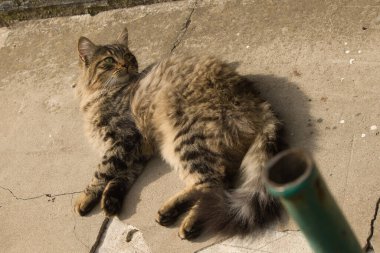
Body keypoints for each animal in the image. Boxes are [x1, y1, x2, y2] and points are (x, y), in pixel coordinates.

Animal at [73, 27, 282, 239]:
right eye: (109, 60)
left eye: (129, 56)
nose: (126, 65)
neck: (96, 95)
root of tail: (258, 100)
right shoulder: (136, 153)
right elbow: (121, 178)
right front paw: (111, 201)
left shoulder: (125, 139)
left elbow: (103, 171)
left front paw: (85, 197)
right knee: (217, 183)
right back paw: (176, 213)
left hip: (184, 138)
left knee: (213, 183)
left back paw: (187, 219)